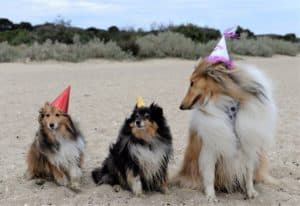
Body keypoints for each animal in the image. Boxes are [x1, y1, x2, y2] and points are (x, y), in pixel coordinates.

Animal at [172, 59, 278, 201]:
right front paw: (211, 196)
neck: (226, 102)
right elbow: (209, 175)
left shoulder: (248, 145)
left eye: (192, 83)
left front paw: (251, 192)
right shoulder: (209, 148)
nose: (181, 106)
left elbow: (249, 172)